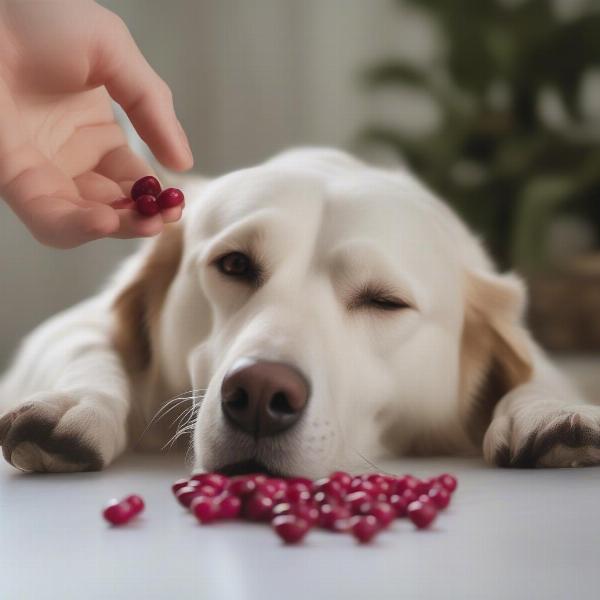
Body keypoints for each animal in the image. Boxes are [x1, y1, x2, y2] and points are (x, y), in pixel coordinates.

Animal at [1, 148, 600, 476]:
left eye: (385, 301)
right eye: (235, 264)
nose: (260, 395)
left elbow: (541, 376)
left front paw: (548, 410)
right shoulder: (75, 324)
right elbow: (87, 347)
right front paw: (72, 403)